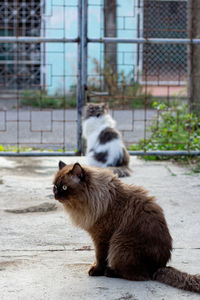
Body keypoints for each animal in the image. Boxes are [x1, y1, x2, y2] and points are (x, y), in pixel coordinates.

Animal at [53, 161, 200, 294]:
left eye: (64, 188)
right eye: (55, 187)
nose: (55, 195)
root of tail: (159, 266)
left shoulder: (101, 237)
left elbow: (100, 257)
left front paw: (96, 270)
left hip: (119, 244)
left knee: (137, 275)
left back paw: (109, 272)